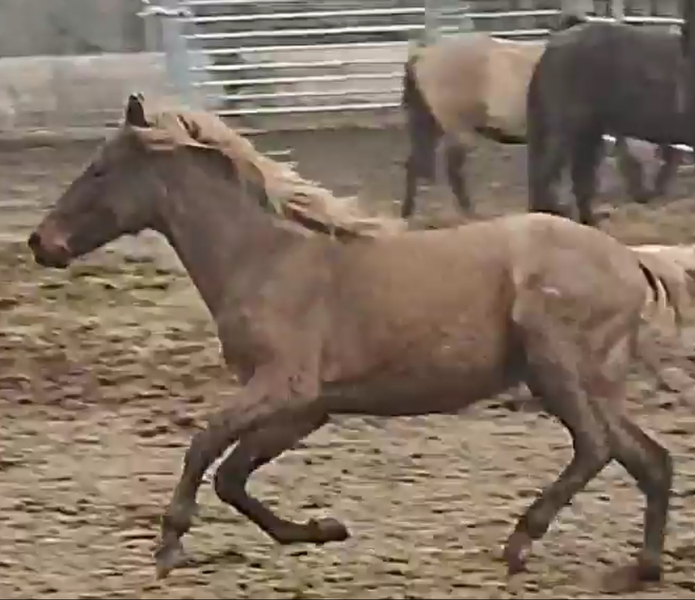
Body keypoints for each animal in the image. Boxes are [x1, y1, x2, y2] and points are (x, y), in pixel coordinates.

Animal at [28, 96, 692, 592]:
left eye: (99, 169)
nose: (41, 242)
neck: (267, 259)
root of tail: (631, 259)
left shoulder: (284, 386)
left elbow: (204, 447)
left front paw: (169, 548)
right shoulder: (305, 408)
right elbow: (233, 477)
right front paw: (323, 529)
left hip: (555, 366)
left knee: (596, 447)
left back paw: (520, 541)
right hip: (594, 380)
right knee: (650, 459)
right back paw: (640, 569)